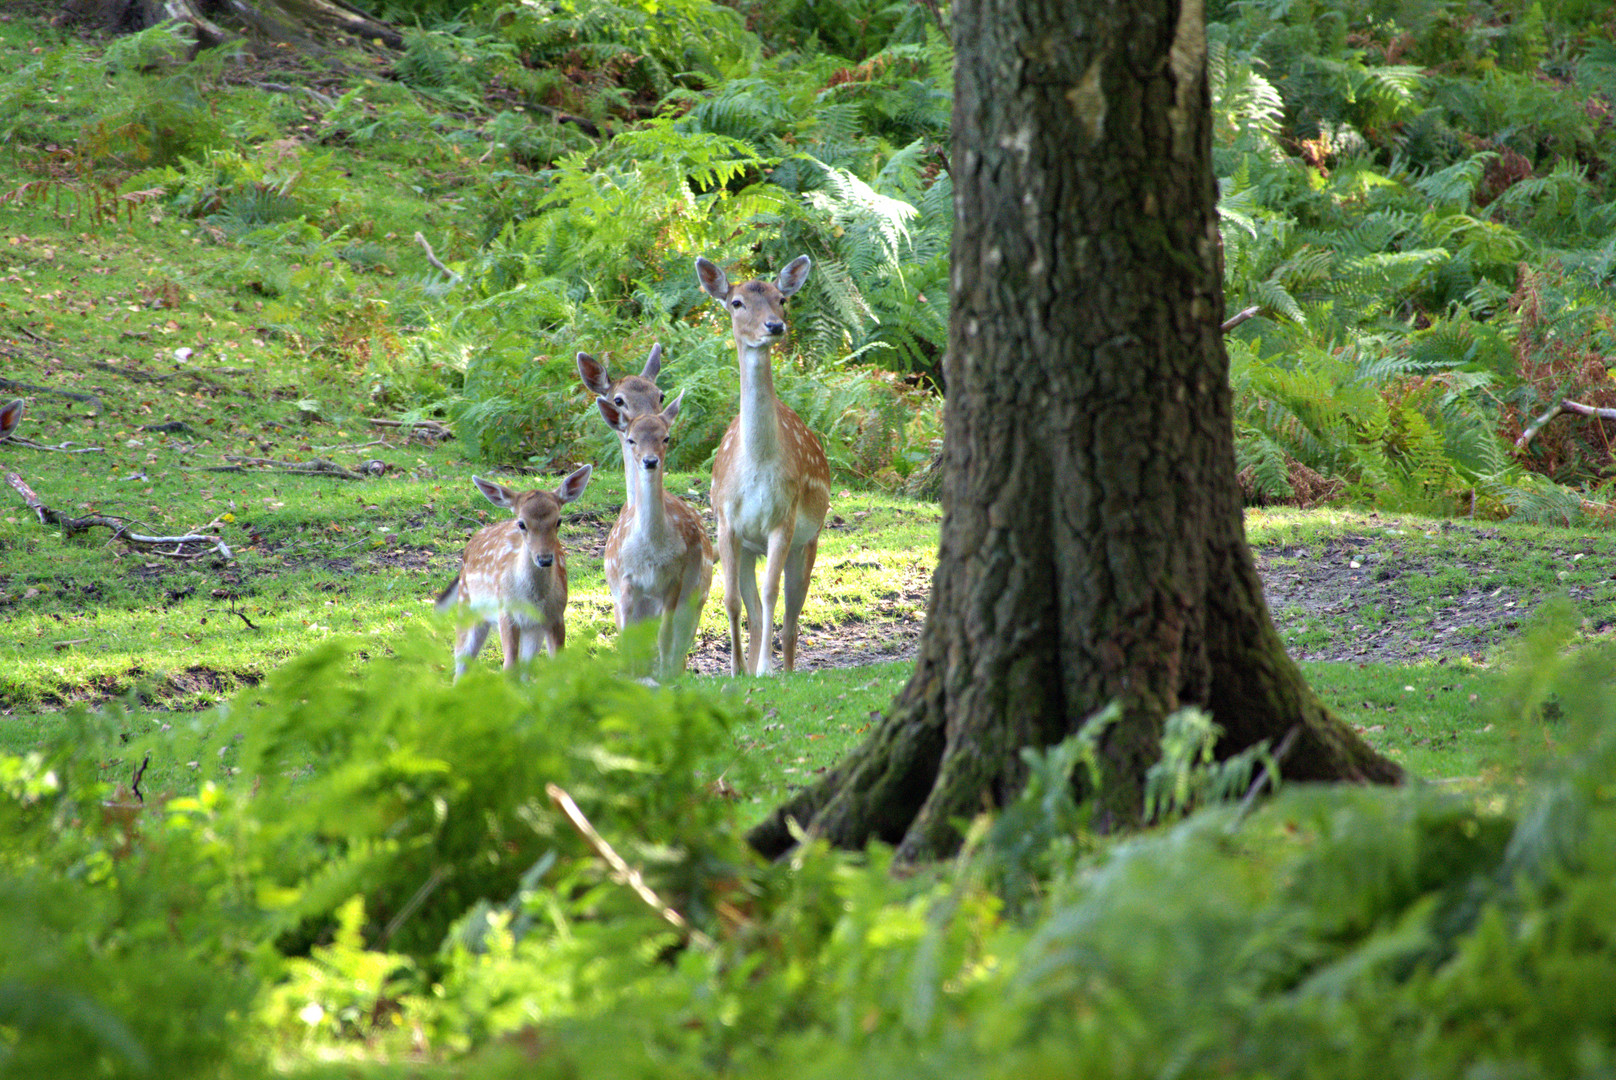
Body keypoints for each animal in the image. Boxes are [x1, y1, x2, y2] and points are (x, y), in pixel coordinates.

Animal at [436, 465, 594, 682]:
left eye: (558, 521)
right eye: (522, 523)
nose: (545, 559)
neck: (534, 598)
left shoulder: (555, 615)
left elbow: (557, 666)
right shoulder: (506, 613)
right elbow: (509, 666)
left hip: (531, 630)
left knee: (526, 667)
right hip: (466, 606)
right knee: (461, 661)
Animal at [601, 394, 714, 682]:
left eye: (666, 437)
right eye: (631, 439)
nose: (650, 461)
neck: (651, 551)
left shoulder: (675, 578)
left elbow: (665, 634)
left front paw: (664, 676)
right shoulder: (626, 580)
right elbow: (627, 636)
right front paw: (629, 675)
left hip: (696, 596)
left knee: (680, 641)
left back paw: (673, 672)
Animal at [691, 253, 827, 675]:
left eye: (781, 299)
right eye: (737, 303)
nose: (774, 325)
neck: (757, 464)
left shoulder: (783, 519)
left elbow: (771, 595)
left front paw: (766, 668)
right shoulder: (727, 523)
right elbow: (732, 600)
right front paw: (736, 670)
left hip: (809, 540)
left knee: (793, 614)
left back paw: (784, 669)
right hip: (752, 548)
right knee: (752, 609)